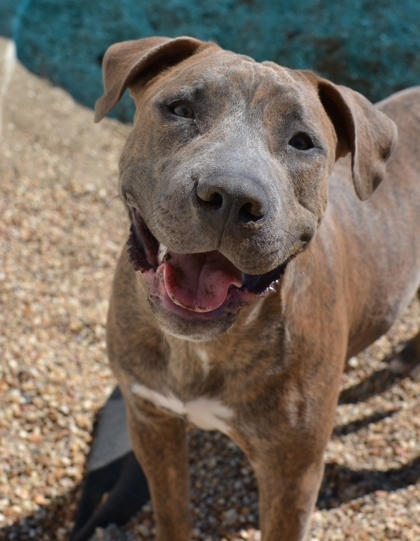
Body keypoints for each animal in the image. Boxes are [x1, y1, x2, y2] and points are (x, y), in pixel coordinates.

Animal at [83, 37, 418, 540]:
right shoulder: (151, 420)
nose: (233, 196)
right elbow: (171, 512)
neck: (203, 350)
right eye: (180, 109)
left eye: (302, 142)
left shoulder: (292, 474)